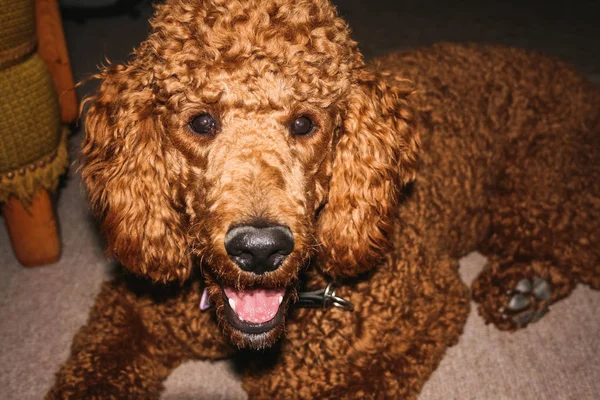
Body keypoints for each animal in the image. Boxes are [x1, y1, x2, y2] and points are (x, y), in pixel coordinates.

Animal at [48, 0, 600, 398]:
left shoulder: (429, 310)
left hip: (537, 186)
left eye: (304, 123)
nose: (260, 248)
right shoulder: (129, 314)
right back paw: (524, 290)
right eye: (201, 121)